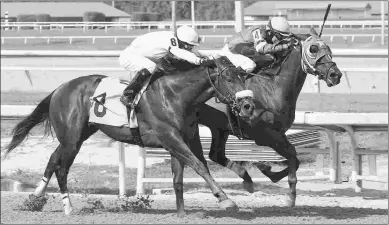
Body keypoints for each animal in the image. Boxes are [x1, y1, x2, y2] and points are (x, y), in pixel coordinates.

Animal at [3, 55, 258, 216]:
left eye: (242, 77)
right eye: (229, 79)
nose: (248, 106)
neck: (176, 95)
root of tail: (59, 88)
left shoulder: (185, 139)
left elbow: (183, 175)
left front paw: (182, 213)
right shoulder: (170, 137)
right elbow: (199, 166)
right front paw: (226, 199)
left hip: (76, 136)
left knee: (52, 160)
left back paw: (35, 196)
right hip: (72, 139)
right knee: (62, 168)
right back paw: (68, 207)